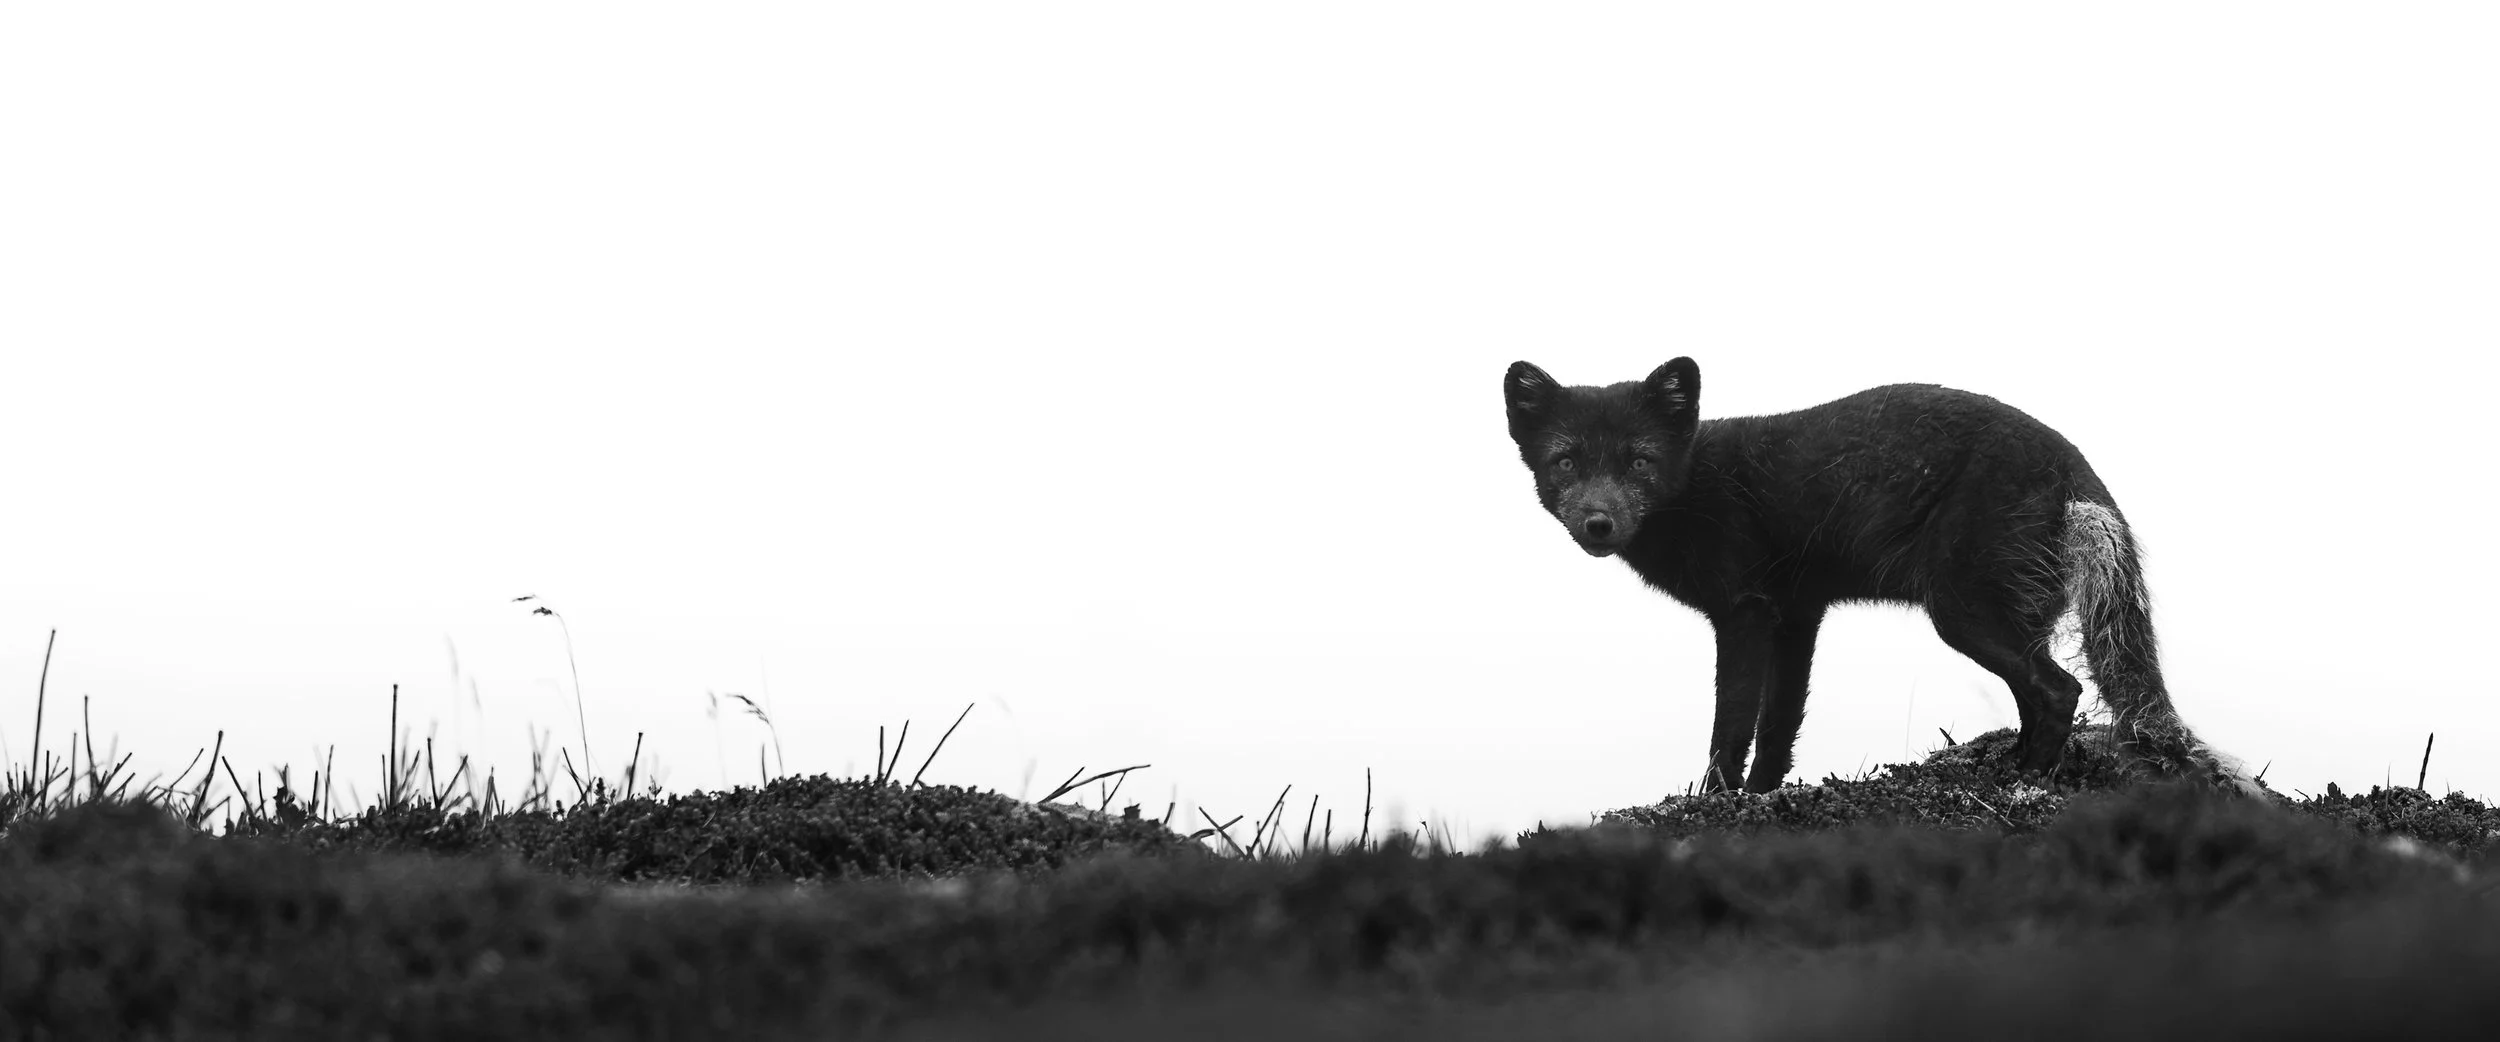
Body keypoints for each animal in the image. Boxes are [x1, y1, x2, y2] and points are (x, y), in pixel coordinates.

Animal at [1502, 357, 2245, 795]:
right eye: (1566, 462)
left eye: (1640, 461)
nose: (1598, 523)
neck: (1694, 489)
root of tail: (2076, 469)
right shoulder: (1797, 613)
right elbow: (1781, 723)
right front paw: (1762, 799)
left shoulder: (1744, 610)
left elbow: (1731, 726)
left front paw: (1713, 805)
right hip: (2008, 614)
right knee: (2037, 693)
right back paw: (2013, 766)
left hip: (1960, 612)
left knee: (2059, 689)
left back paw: (2024, 784)